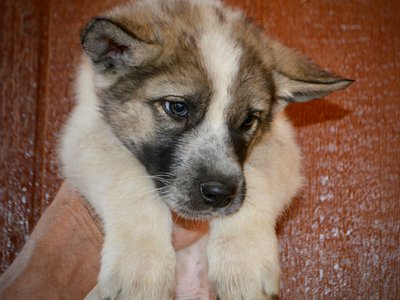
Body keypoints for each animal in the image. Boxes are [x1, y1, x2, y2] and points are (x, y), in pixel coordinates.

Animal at [58, 1, 350, 298]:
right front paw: (141, 270)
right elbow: (129, 180)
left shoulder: (280, 146)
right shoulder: (87, 135)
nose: (219, 194)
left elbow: (257, 183)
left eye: (248, 120)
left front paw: (242, 265)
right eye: (177, 107)